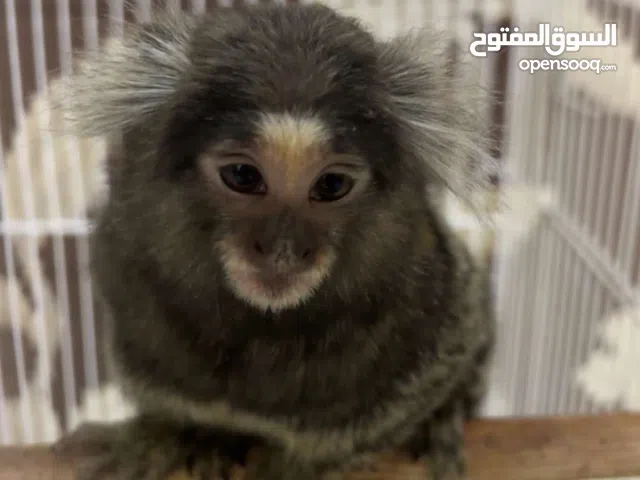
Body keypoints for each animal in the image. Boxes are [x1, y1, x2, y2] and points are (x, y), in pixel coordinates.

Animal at [50, 3, 496, 480]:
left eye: (331, 185)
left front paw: (296, 464)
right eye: (242, 176)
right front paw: (166, 433)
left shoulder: (439, 311)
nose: (283, 250)